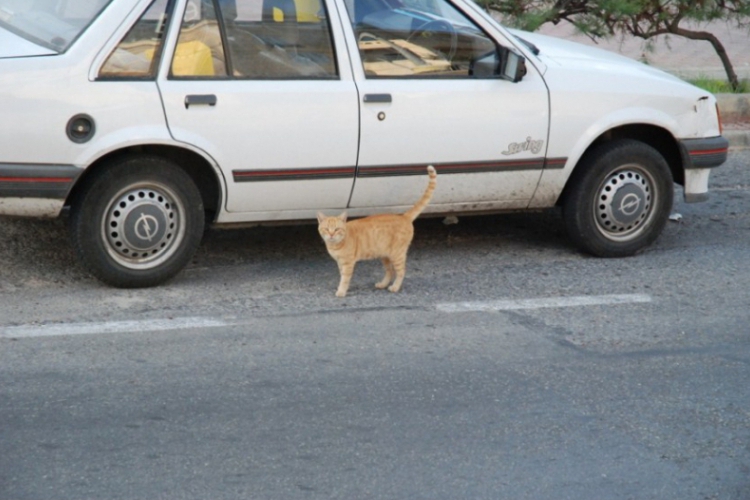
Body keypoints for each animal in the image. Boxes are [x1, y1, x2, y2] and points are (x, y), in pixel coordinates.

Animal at [318, 166, 438, 294]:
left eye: (337, 229)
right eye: (326, 229)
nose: (331, 234)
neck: (335, 245)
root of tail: (403, 217)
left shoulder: (348, 263)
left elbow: (345, 278)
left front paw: (341, 291)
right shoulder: (340, 263)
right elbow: (342, 276)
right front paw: (342, 288)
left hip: (397, 254)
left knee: (401, 271)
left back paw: (395, 287)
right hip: (385, 256)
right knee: (390, 271)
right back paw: (383, 284)